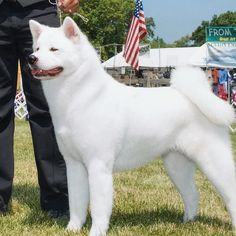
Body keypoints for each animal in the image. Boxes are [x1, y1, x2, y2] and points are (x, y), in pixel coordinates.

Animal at [28, 17, 236, 236]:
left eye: (54, 49)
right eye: (37, 48)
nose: (31, 58)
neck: (79, 97)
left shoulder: (98, 165)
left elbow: (99, 207)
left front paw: (96, 232)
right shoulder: (74, 165)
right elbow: (76, 203)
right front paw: (72, 229)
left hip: (213, 161)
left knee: (230, 195)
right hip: (176, 164)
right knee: (192, 194)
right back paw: (187, 222)